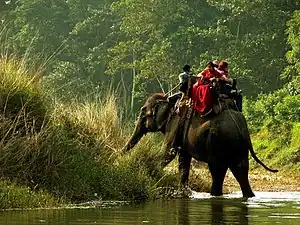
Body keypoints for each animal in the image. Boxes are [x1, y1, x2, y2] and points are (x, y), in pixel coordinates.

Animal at [123, 92, 278, 198]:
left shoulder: (174, 123)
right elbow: (183, 160)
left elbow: (168, 153)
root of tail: (241, 127)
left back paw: (214, 195)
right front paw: (183, 192)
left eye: (143, 112)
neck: (169, 100)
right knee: (240, 170)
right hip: (237, 146)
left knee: (217, 171)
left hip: (218, 142)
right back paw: (248, 196)